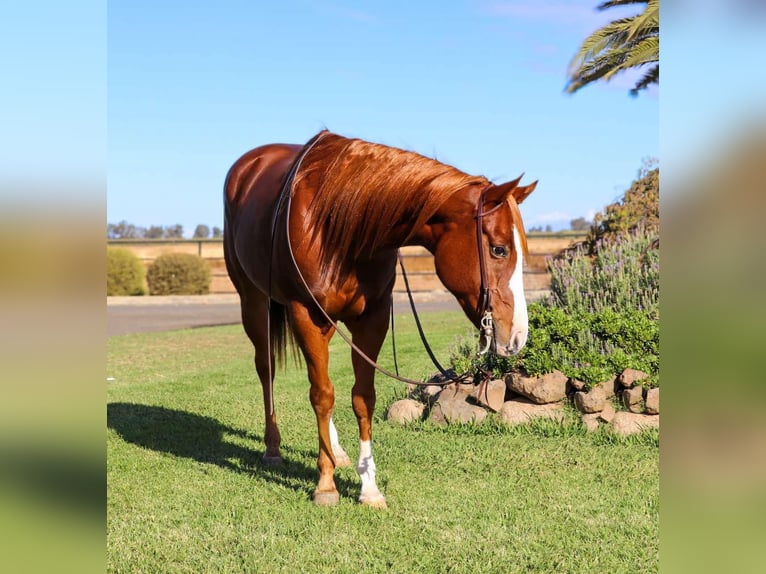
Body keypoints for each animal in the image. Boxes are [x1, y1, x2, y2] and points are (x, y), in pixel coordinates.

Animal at [223, 130, 536, 508]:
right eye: (499, 249)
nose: (516, 335)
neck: (336, 224)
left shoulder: (372, 318)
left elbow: (361, 397)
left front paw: (368, 486)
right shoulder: (305, 313)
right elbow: (322, 395)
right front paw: (325, 484)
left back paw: (336, 450)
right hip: (255, 304)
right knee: (268, 370)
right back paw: (273, 447)